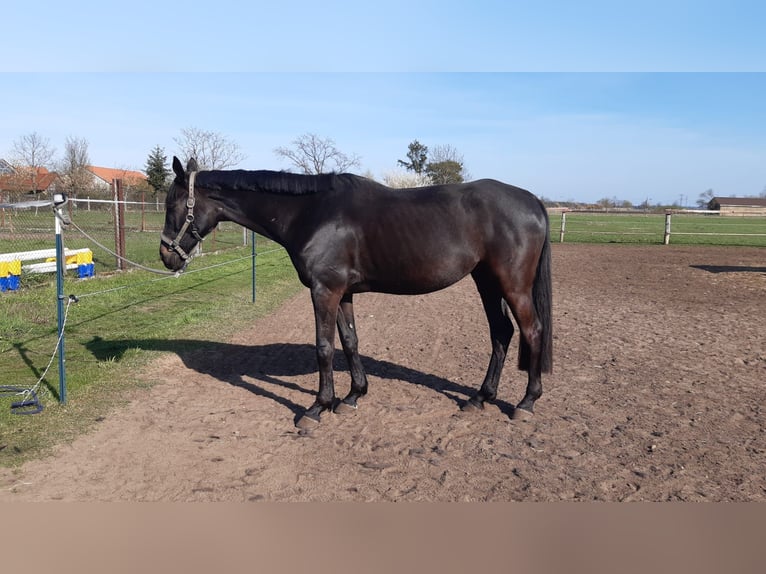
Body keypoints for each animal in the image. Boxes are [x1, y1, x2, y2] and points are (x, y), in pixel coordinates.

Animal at [160, 157, 552, 429]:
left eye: (172, 205)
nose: (166, 255)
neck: (311, 212)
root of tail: (532, 200)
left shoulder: (324, 291)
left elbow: (324, 347)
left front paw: (317, 407)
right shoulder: (343, 293)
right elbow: (349, 341)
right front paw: (351, 396)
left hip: (512, 284)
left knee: (532, 331)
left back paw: (526, 403)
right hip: (486, 281)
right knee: (501, 332)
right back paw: (480, 397)